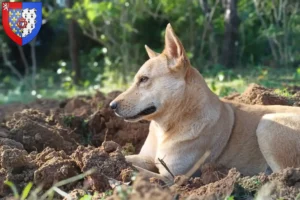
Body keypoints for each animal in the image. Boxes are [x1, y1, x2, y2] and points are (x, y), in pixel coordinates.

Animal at [109, 23, 300, 183]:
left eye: (144, 79)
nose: (111, 106)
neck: (168, 125)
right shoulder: (146, 158)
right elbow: (123, 158)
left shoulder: (171, 177)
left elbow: (135, 170)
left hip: (267, 124)